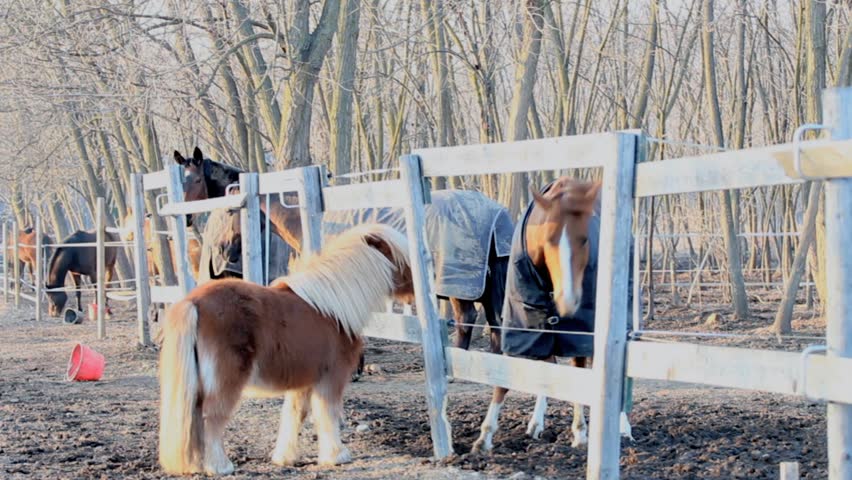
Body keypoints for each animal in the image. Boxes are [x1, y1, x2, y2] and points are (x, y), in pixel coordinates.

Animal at [157, 224, 414, 476]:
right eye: (401, 258)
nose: (415, 292)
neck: (333, 310)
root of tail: (193, 303)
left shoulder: (303, 382)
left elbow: (294, 414)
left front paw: (285, 457)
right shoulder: (331, 378)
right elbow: (326, 413)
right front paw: (337, 456)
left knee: (193, 417)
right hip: (225, 382)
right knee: (211, 417)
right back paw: (220, 467)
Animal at [471, 178, 633, 453]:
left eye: (585, 240)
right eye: (548, 239)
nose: (568, 300)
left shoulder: (579, 332)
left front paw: (580, 433)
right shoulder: (520, 330)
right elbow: (504, 377)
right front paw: (485, 436)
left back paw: (621, 427)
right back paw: (536, 424)